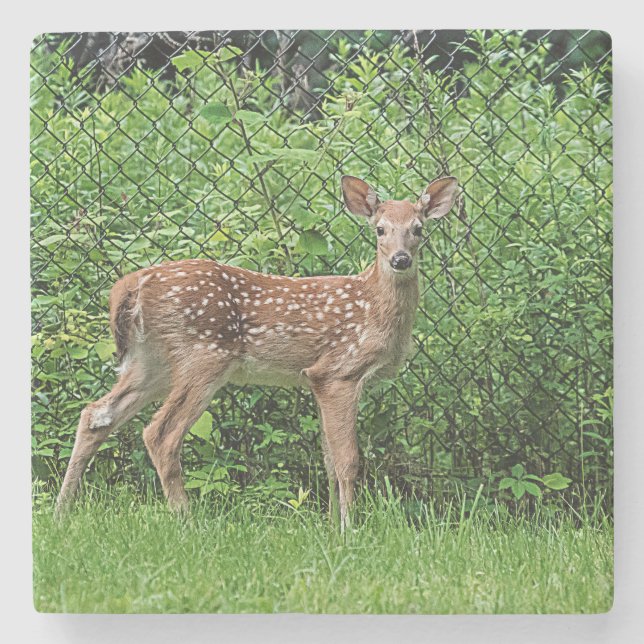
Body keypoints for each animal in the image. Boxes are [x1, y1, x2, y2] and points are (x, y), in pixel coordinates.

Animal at [55, 175, 459, 530]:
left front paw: (331, 527)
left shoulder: (316, 379)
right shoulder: (339, 370)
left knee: (96, 414)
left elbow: (328, 460)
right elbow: (348, 461)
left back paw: (62, 510)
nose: (401, 259)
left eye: (418, 229)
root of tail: (131, 285)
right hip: (203, 355)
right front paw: (349, 529)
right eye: (379, 230)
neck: (373, 306)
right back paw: (187, 521)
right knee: (160, 434)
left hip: (151, 362)